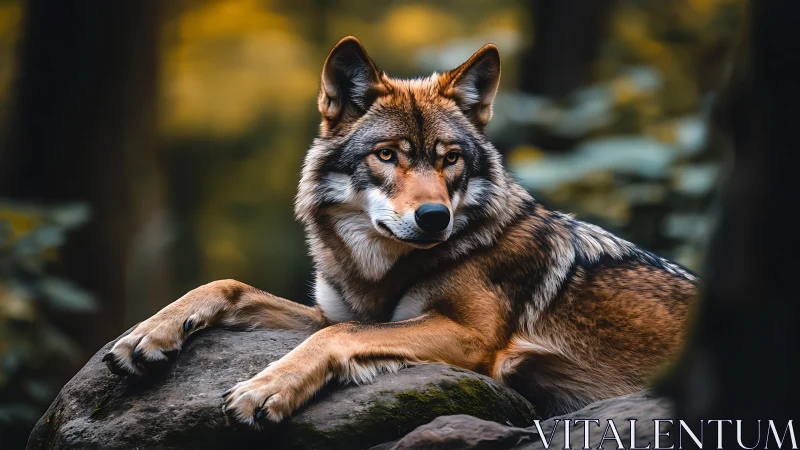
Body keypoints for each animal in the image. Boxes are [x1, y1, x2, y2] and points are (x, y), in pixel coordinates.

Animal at [103, 36, 697, 428]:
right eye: (388, 155)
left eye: (450, 158)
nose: (435, 217)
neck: (379, 269)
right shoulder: (335, 310)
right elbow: (229, 286)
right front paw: (146, 334)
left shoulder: (471, 338)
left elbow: (339, 336)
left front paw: (265, 387)